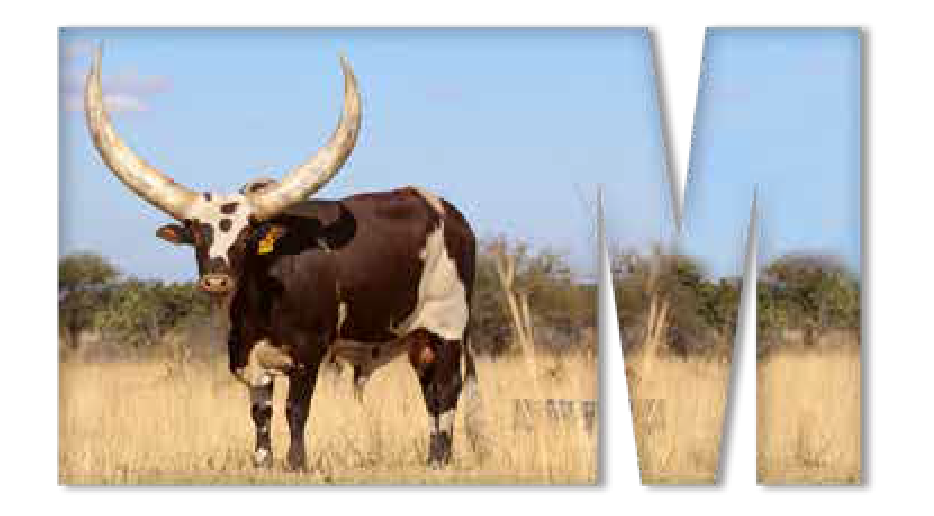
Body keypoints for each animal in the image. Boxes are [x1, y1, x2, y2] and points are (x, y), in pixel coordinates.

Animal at [83, 48, 479, 470]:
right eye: (197, 235)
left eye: (246, 237)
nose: (217, 280)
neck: (259, 303)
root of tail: (451, 214)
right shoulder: (248, 359)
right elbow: (261, 413)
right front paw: (263, 462)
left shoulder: (309, 353)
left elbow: (296, 410)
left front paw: (297, 464)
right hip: (417, 339)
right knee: (430, 393)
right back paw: (433, 457)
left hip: (448, 326)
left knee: (446, 389)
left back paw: (441, 461)